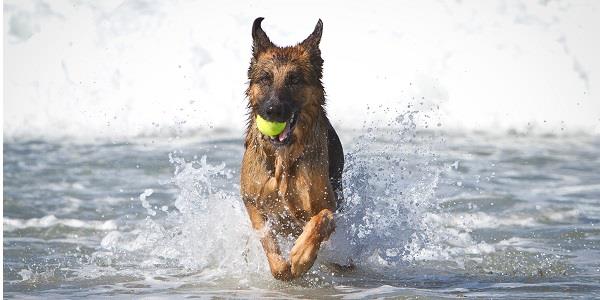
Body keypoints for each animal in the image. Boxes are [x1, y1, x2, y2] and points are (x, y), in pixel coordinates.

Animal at [239, 18, 342, 282]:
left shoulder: (328, 206)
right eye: (265, 79)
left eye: (294, 80)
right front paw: (282, 268)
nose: (273, 110)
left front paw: (301, 257)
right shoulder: (252, 202)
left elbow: (321, 220)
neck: (282, 159)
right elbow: (266, 236)